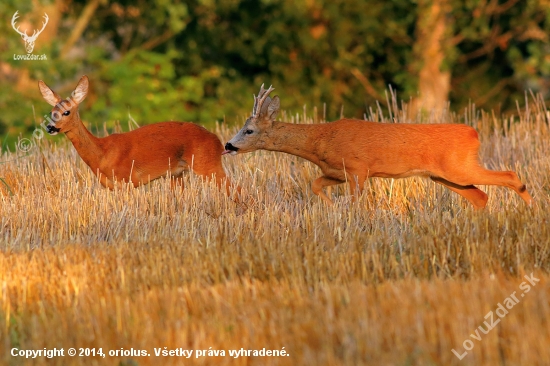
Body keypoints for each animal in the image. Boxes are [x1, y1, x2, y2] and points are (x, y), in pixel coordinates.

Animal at [224, 84, 536, 207]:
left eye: (249, 130)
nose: (228, 145)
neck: (320, 140)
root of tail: (474, 133)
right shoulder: (337, 172)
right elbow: (315, 185)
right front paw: (331, 208)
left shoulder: (358, 169)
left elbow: (356, 203)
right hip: (445, 176)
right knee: (480, 196)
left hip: (459, 168)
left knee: (510, 176)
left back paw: (532, 211)